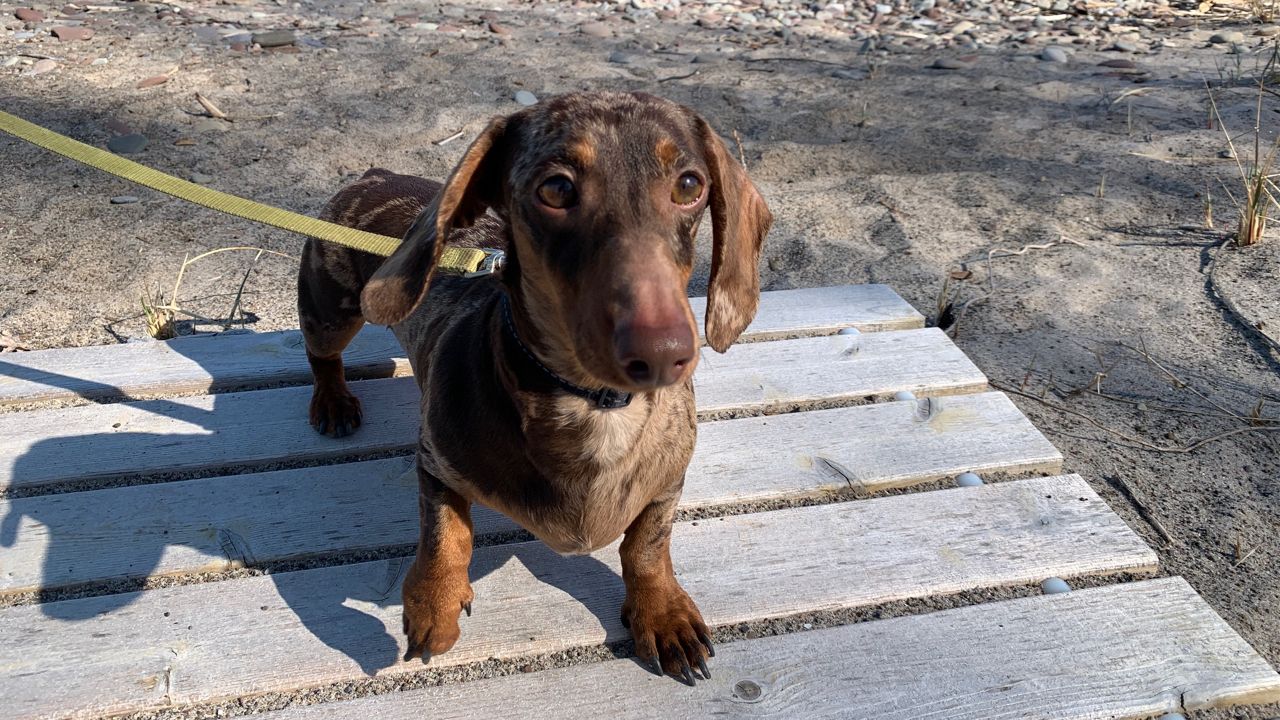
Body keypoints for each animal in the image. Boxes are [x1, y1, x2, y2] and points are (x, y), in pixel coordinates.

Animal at [296, 89, 768, 676]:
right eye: (557, 188)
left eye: (689, 185)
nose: (664, 353)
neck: (595, 405)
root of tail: (373, 174)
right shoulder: (435, 462)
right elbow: (445, 535)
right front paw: (434, 604)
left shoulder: (667, 483)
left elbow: (647, 547)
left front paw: (663, 615)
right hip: (331, 308)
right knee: (322, 355)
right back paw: (333, 401)